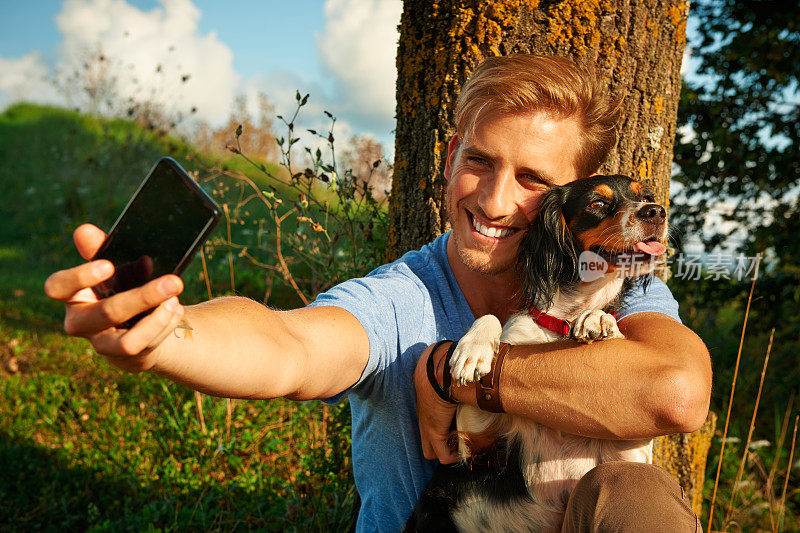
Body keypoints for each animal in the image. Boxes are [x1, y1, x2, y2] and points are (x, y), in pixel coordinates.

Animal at [406, 176, 668, 532]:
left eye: (645, 196)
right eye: (597, 203)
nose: (656, 211)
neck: (562, 325)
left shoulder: (628, 454)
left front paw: (599, 320)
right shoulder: (477, 441)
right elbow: (492, 318)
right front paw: (472, 352)